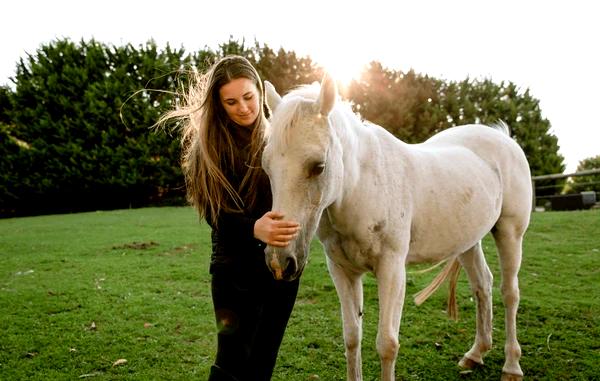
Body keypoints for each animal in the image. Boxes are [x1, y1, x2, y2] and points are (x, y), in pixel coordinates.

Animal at [262, 74, 528, 380]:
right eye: (266, 166)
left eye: (318, 166)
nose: (280, 262)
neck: (360, 186)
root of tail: (503, 137)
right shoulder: (342, 271)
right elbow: (352, 337)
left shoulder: (392, 269)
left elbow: (387, 344)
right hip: (468, 242)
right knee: (482, 285)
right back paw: (475, 354)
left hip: (510, 233)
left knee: (510, 293)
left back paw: (512, 366)